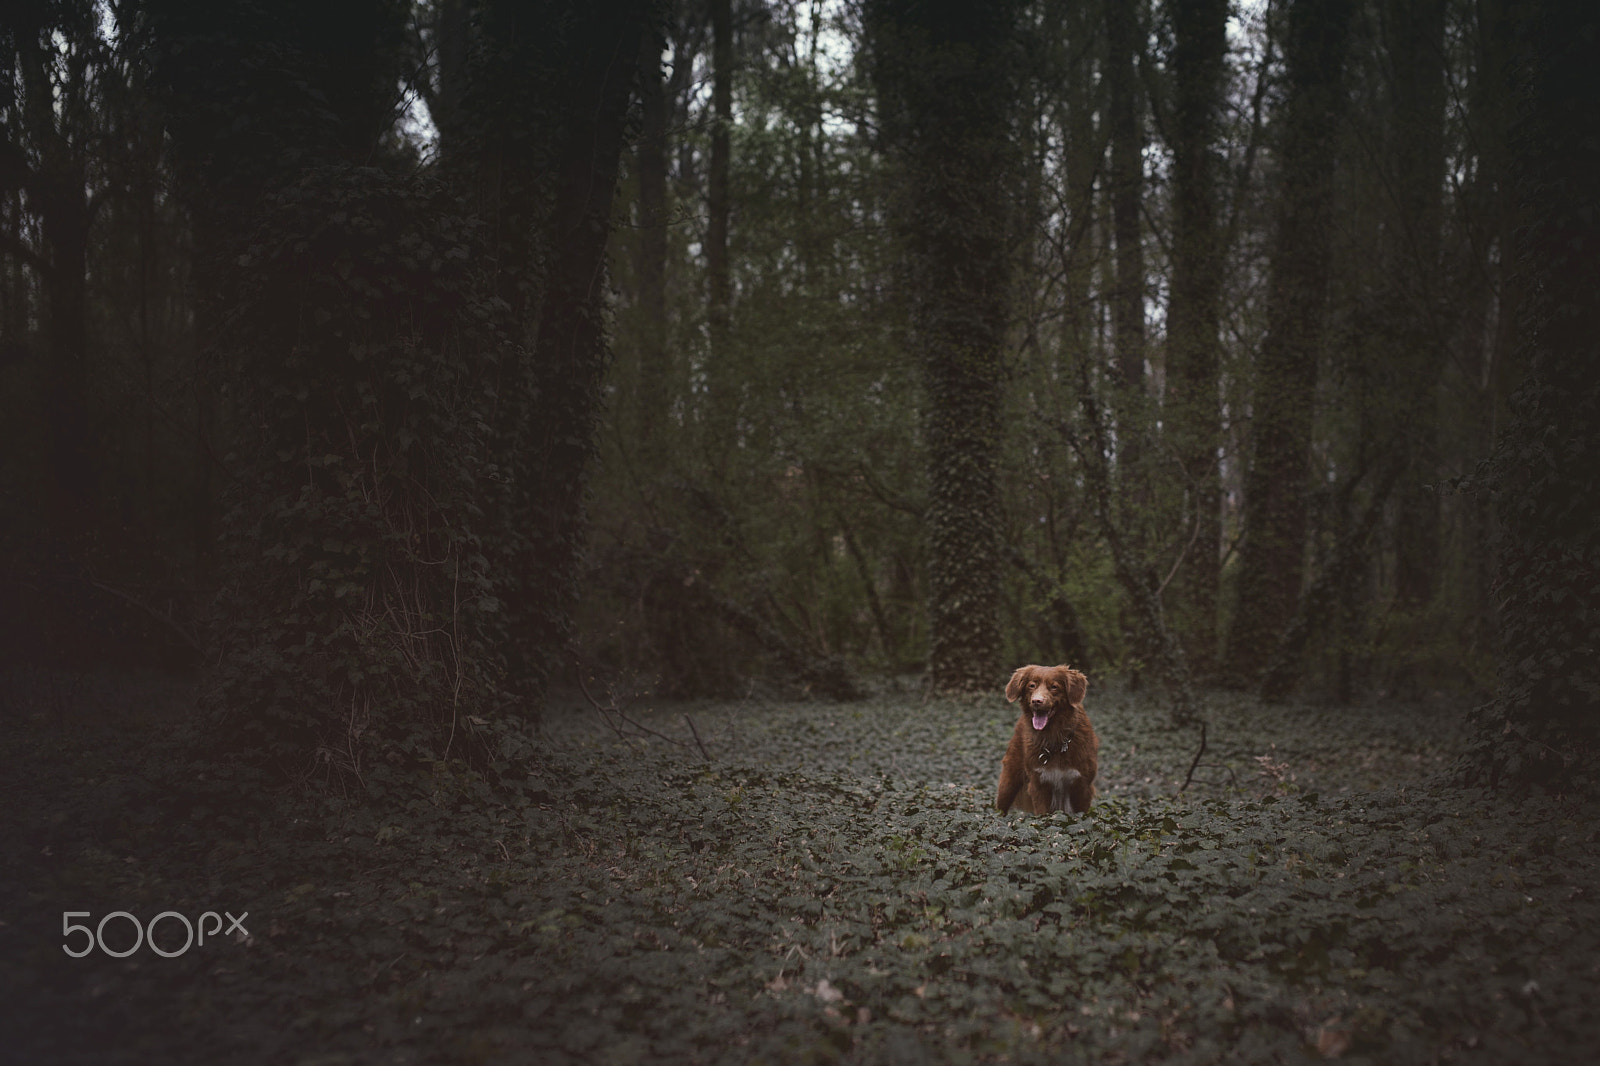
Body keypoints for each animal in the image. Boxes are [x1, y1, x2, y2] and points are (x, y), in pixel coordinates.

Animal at [992, 659, 1094, 809]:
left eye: (1054, 687)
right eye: (1031, 686)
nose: (1036, 701)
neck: (1055, 738)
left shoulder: (1082, 786)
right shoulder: (1039, 784)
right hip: (1008, 783)